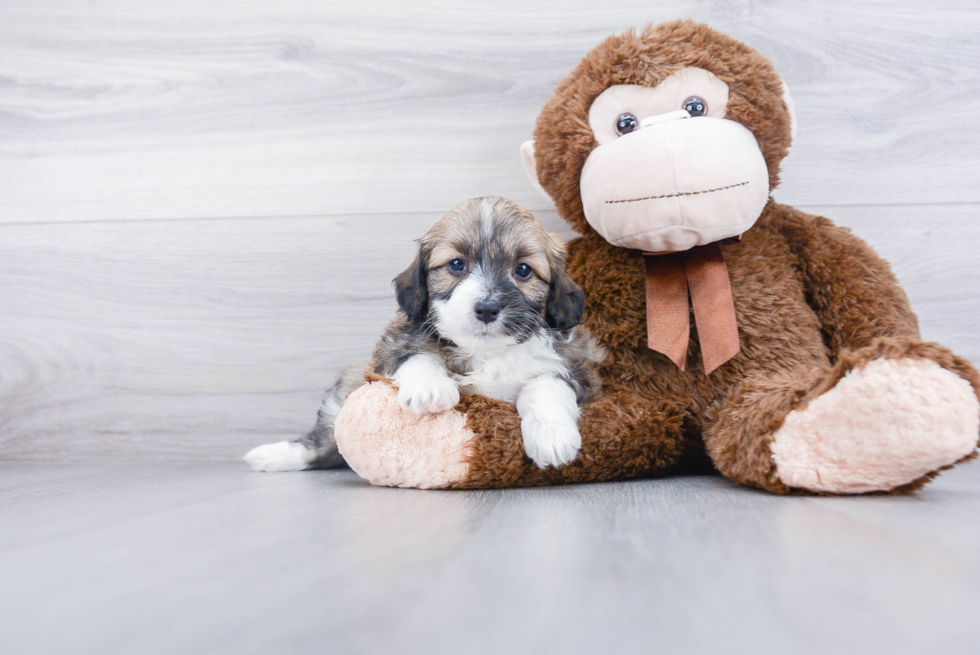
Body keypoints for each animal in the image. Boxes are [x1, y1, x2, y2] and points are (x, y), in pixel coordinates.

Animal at [245, 195, 600, 472]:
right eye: (457, 265)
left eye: (523, 270)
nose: (486, 308)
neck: (484, 352)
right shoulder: (394, 347)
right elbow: (418, 356)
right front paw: (430, 389)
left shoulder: (577, 371)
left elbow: (545, 385)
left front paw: (552, 436)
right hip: (347, 387)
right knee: (322, 440)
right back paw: (274, 455)